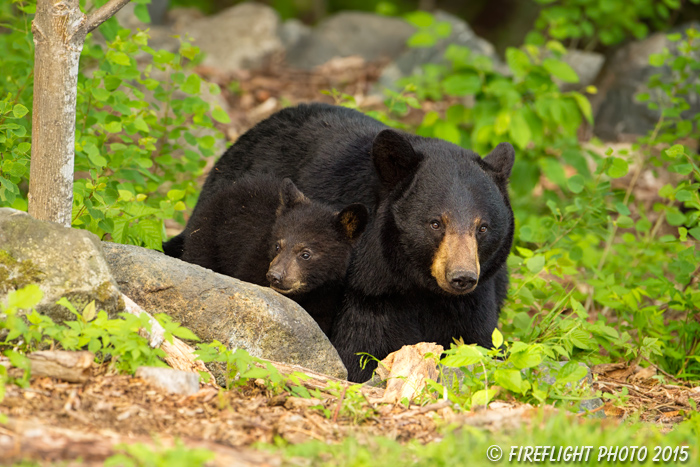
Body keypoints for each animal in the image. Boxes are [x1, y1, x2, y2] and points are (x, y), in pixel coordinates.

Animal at [178, 174, 370, 334]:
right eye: (277, 246)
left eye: (305, 254)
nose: (274, 276)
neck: (304, 293)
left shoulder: (326, 294)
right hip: (207, 237)